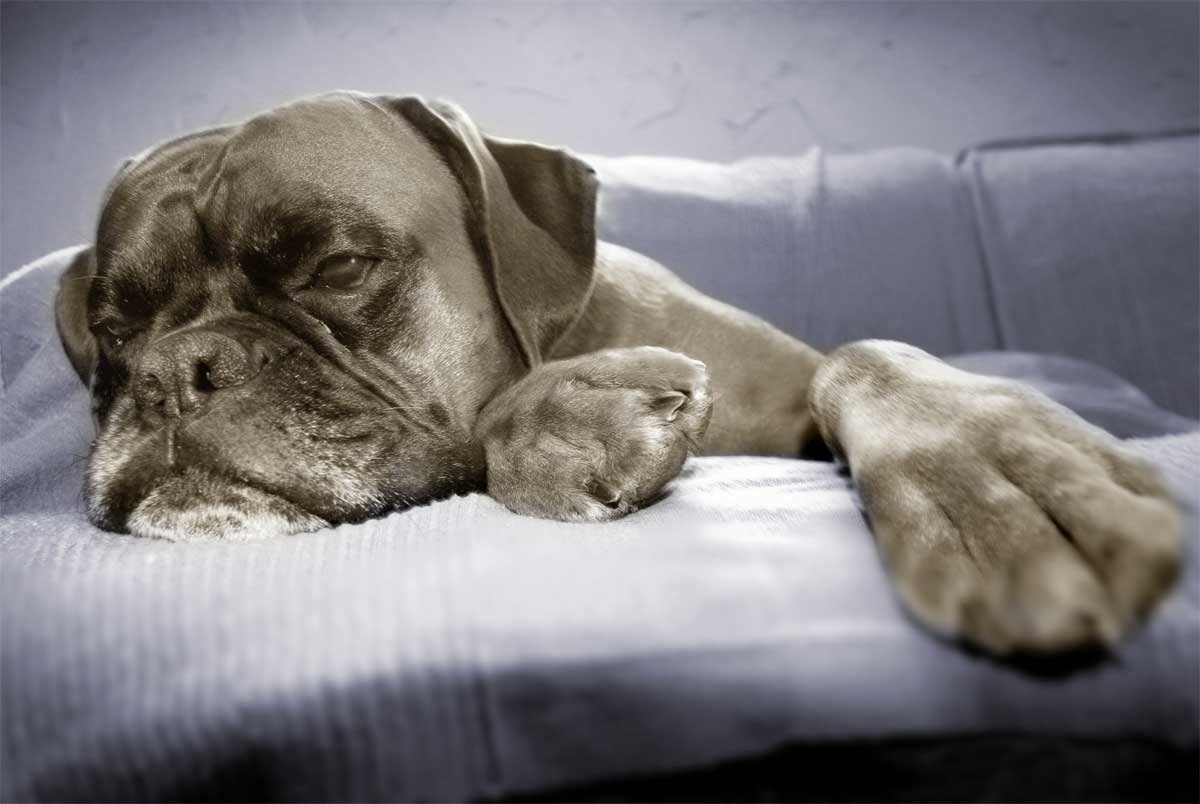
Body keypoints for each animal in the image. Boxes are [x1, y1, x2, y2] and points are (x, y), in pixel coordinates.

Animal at [54, 91, 1180, 657]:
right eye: (114, 328)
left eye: (337, 265)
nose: (178, 371)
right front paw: (573, 425)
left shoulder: (800, 374)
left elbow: (865, 359)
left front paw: (987, 486)